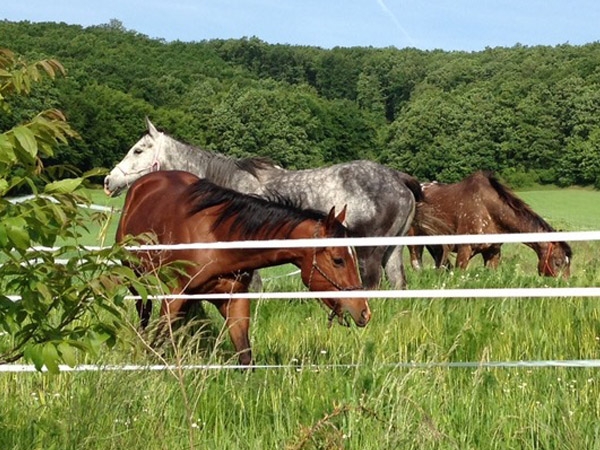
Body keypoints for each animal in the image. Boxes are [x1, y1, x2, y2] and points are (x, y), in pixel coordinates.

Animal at [116, 170, 370, 366]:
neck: (219, 241)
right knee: (143, 310)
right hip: (135, 278)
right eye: (338, 260)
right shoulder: (173, 297)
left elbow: (246, 357)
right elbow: (157, 344)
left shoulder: (235, 300)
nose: (364, 311)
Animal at [408, 172, 572, 278]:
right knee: (416, 264)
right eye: (558, 263)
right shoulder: (464, 250)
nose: (564, 285)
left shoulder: (492, 252)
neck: (487, 208)